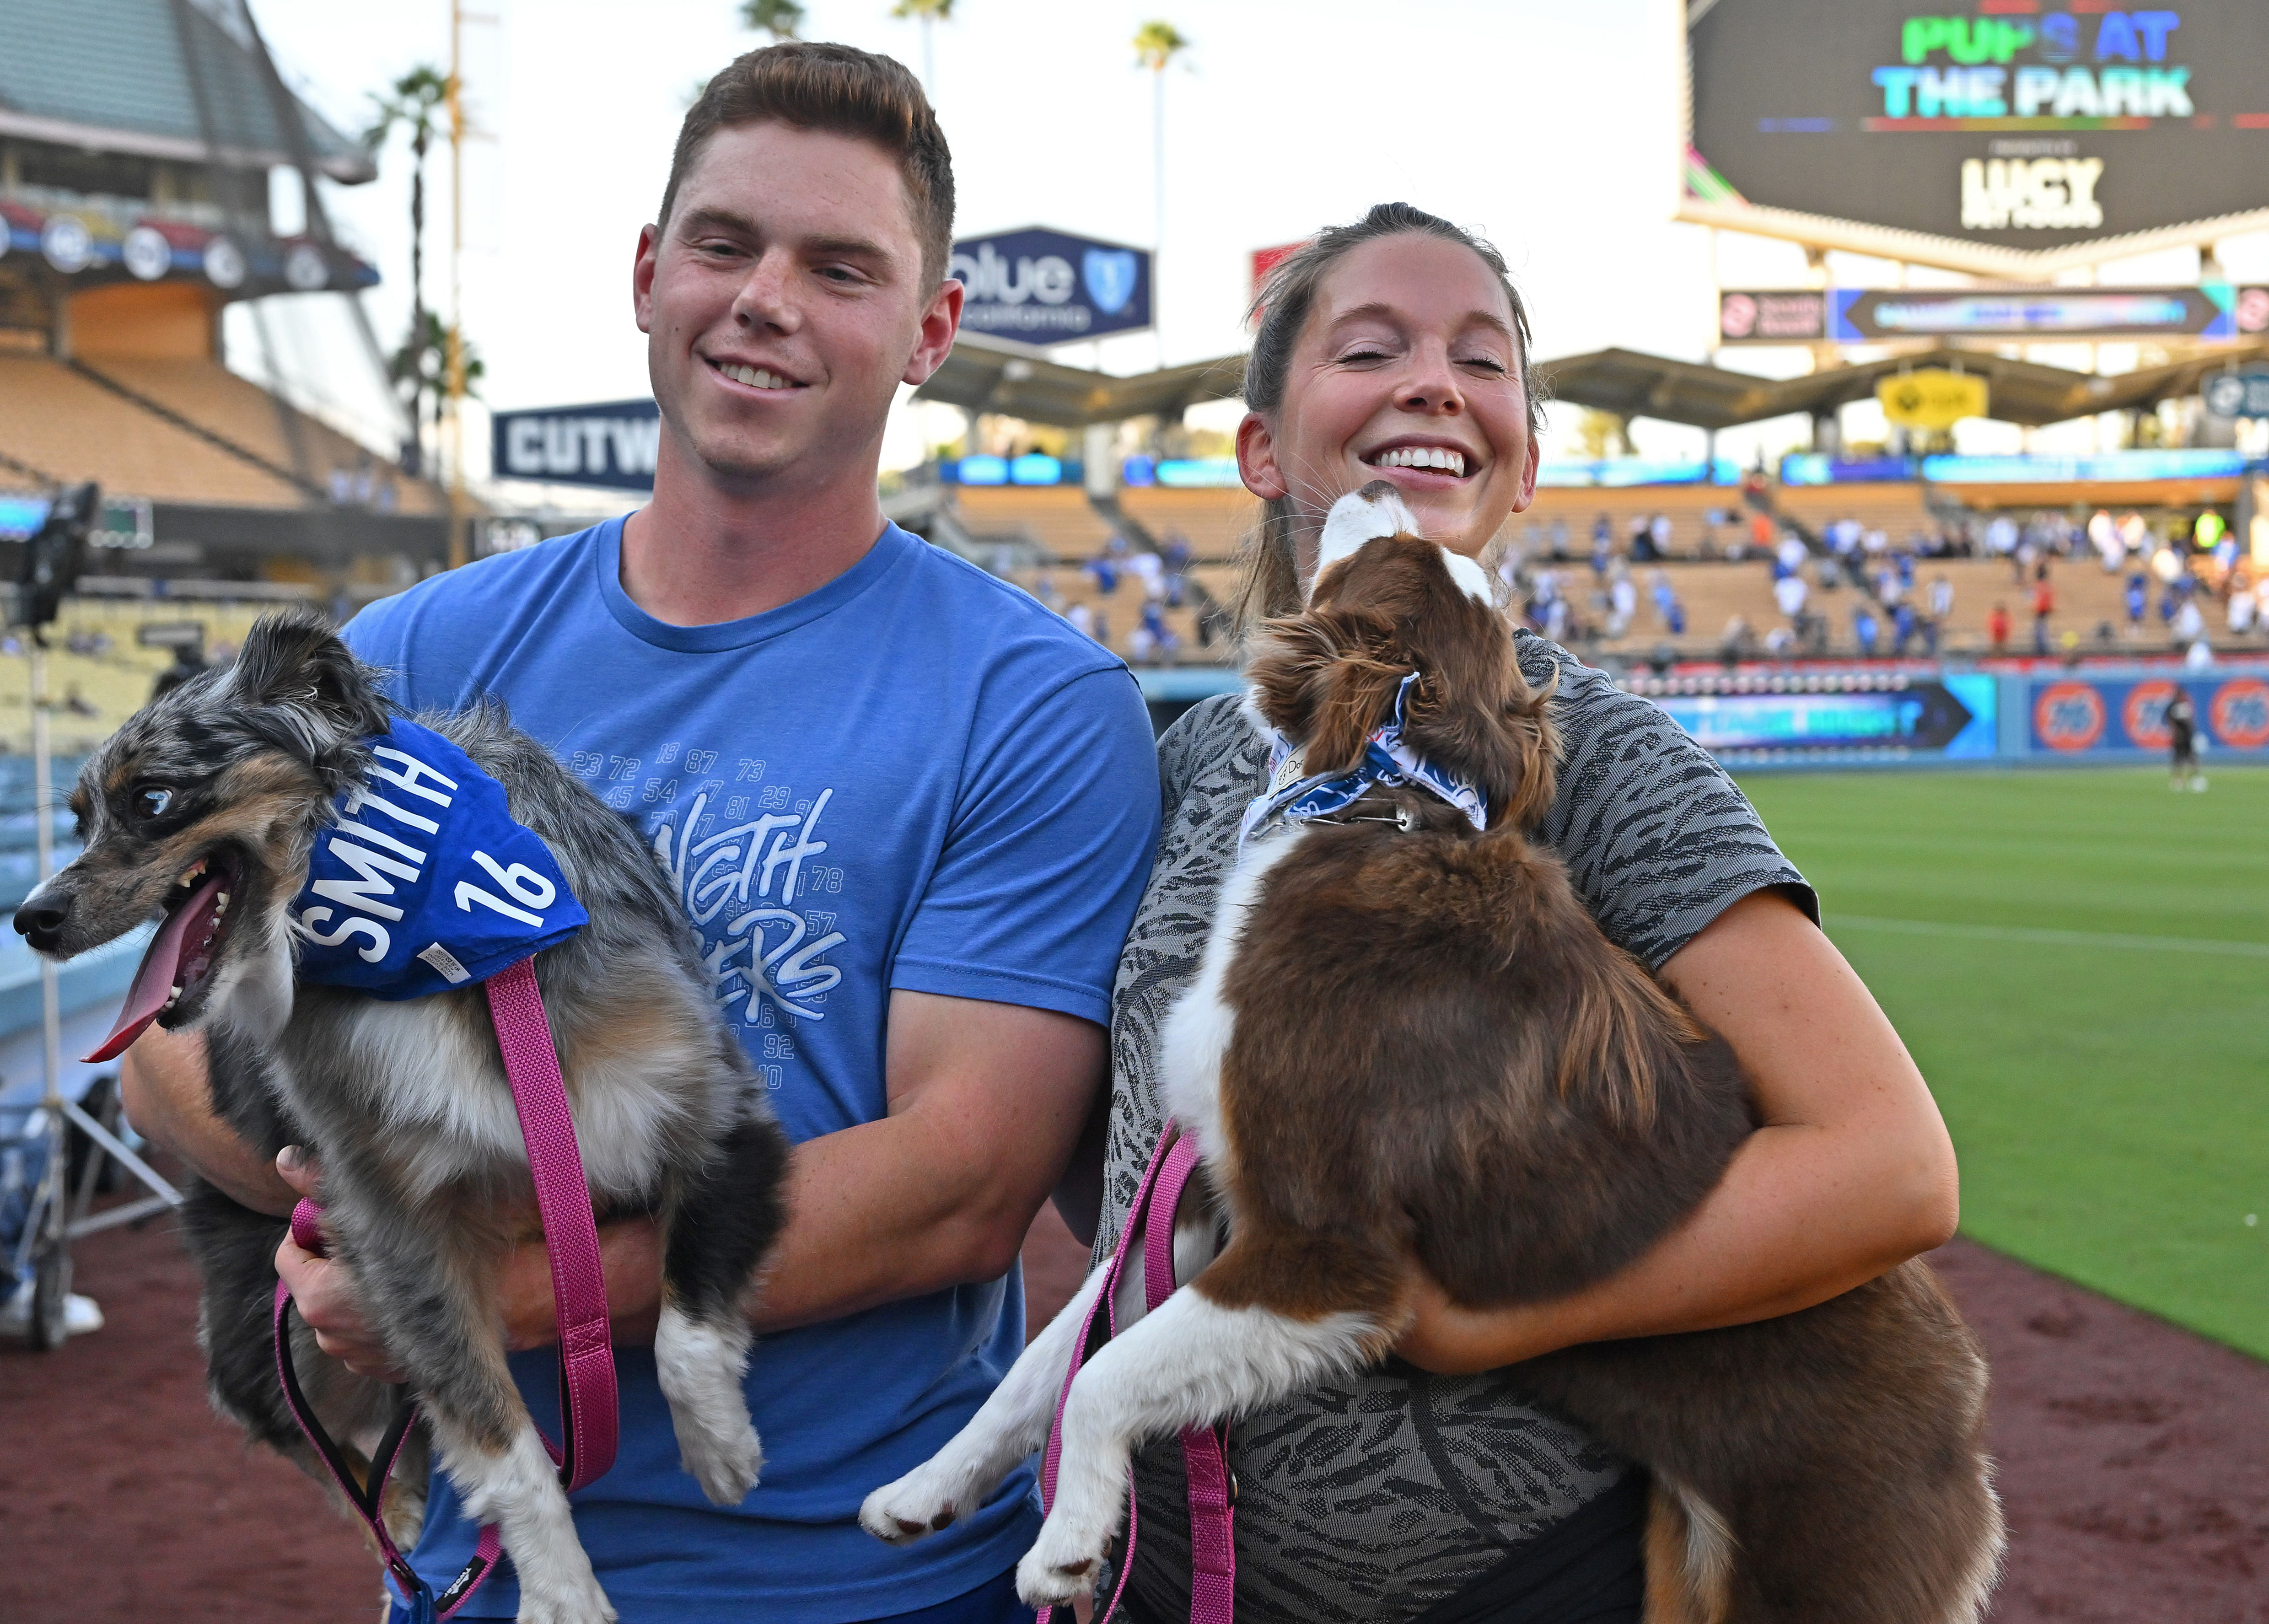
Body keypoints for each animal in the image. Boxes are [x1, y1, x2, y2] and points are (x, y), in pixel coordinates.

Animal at [866, 485, 2006, 1624]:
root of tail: (1966, 1393)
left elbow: (1103, 1375)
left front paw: (1064, 1540)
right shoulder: (1208, 1197)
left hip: (1823, 1564)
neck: (1381, 809)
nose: (1387, 488)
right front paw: (928, 1485)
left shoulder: (1324, 1246)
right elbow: (1057, 1352)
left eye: (1387, 548)